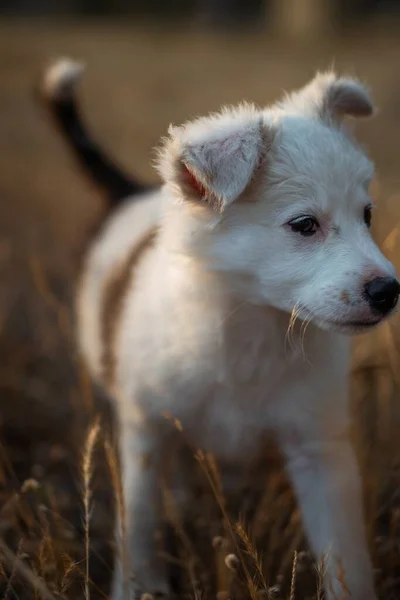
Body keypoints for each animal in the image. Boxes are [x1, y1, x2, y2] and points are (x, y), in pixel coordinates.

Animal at [39, 59, 396, 600]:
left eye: (367, 215)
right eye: (304, 224)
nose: (389, 291)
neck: (251, 323)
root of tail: (129, 192)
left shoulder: (319, 445)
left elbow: (344, 555)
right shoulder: (146, 429)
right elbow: (139, 523)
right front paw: (137, 584)